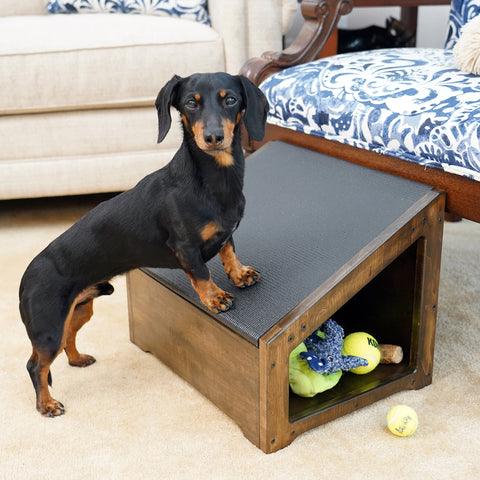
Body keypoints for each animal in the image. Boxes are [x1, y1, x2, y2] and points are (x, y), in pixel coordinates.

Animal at [19, 71, 270, 416]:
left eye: (230, 99)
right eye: (191, 103)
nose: (214, 137)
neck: (213, 180)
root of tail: (26, 277)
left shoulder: (226, 233)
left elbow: (229, 250)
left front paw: (240, 274)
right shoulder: (185, 247)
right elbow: (201, 274)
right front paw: (215, 297)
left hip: (79, 311)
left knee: (66, 341)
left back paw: (77, 359)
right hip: (48, 329)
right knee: (35, 366)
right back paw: (46, 404)